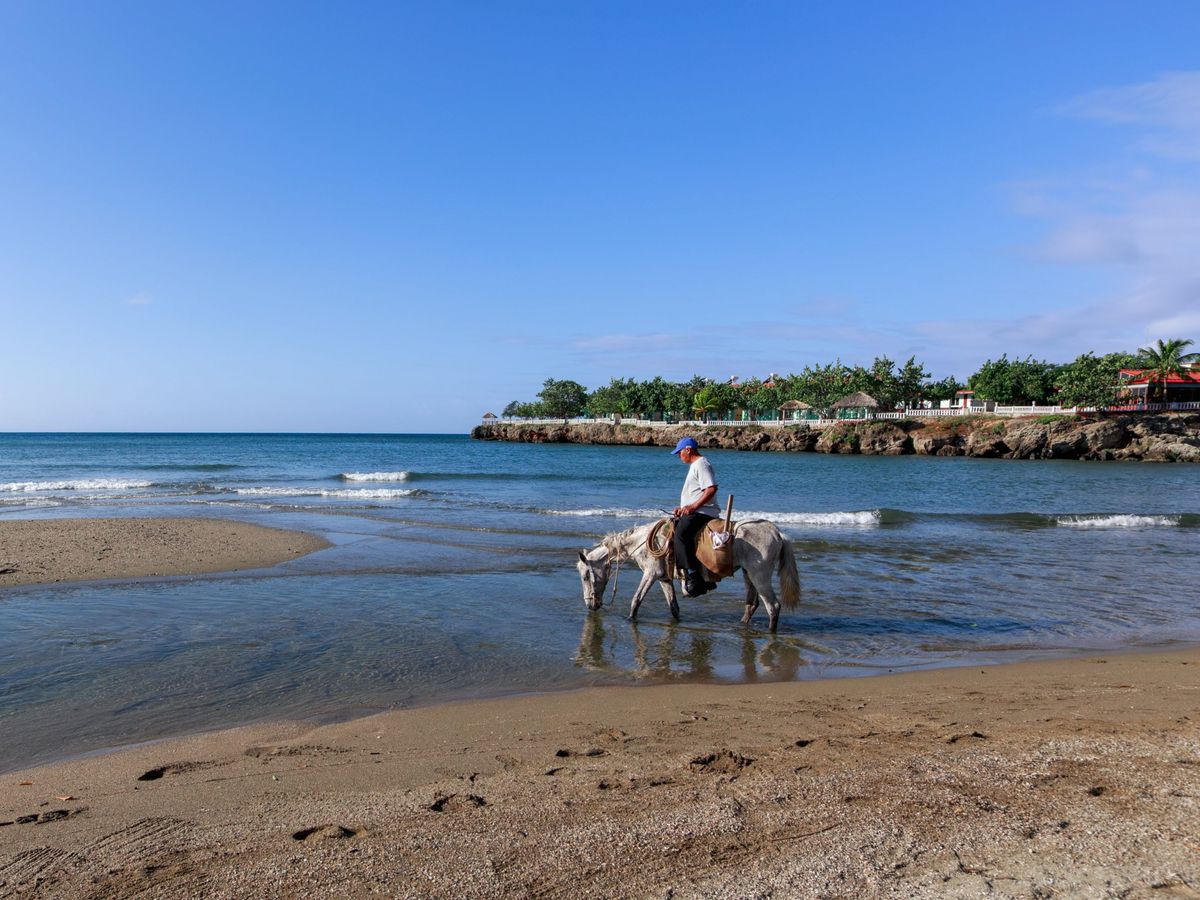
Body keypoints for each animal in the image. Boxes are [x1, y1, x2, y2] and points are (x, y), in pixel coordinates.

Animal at [576, 518, 800, 631]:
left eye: (585, 576)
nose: (590, 605)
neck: (642, 542)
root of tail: (777, 533)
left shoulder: (650, 574)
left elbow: (636, 600)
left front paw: (630, 620)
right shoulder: (663, 578)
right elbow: (673, 607)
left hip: (760, 576)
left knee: (773, 606)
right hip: (748, 574)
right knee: (752, 604)